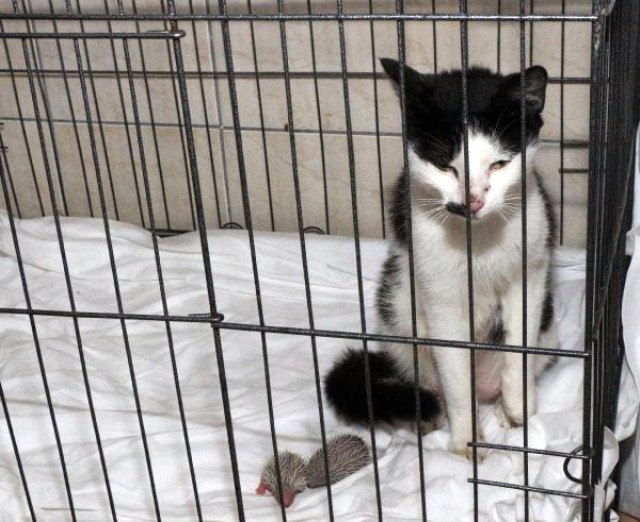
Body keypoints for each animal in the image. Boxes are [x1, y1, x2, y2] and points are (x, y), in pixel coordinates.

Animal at [325, 60, 557, 458]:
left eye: (499, 164)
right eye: (444, 166)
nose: (472, 201)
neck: (479, 240)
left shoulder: (531, 270)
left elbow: (519, 344)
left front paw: (517, 405)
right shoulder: (440, 296)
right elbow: (456, 373)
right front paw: (465, 440)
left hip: (549, 328)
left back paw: (504, 406)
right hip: (398, 311)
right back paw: (426, 413)